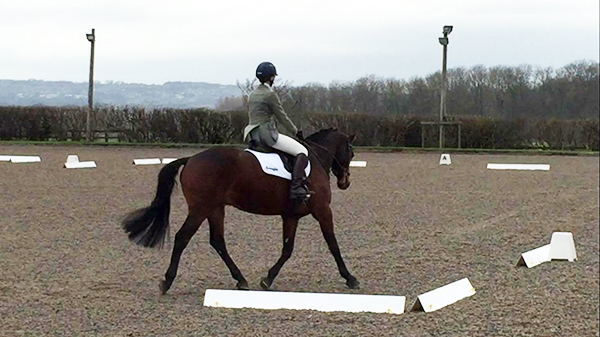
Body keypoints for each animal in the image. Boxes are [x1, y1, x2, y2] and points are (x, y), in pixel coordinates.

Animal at [119, 127, 358, 292]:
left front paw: (267, 279)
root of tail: (191, 159)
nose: (345, 182)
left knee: (217, 241)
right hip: (200, 208)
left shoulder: (291, 216)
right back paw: (167, 281)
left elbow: (287, 249)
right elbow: (333, 244)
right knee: (182, 238)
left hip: (215, 208)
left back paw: (241, 279)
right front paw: (350, 278)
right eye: (351, 152)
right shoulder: (323, 210)